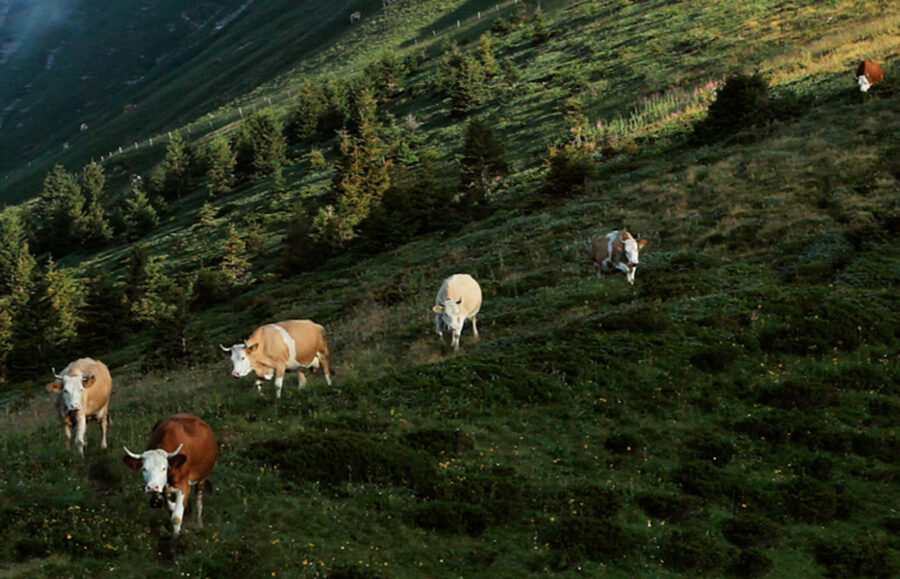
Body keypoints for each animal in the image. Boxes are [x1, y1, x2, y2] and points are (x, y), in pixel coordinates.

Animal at [123, 412, 218, 540]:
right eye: (144, 469)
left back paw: (198, 522)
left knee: (199, 499)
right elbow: (170, 506)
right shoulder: (163, 489)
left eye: (164, 468)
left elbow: (176, 518)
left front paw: (176, 537)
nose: (152, 487)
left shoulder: (183, 485)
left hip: (202, 477)